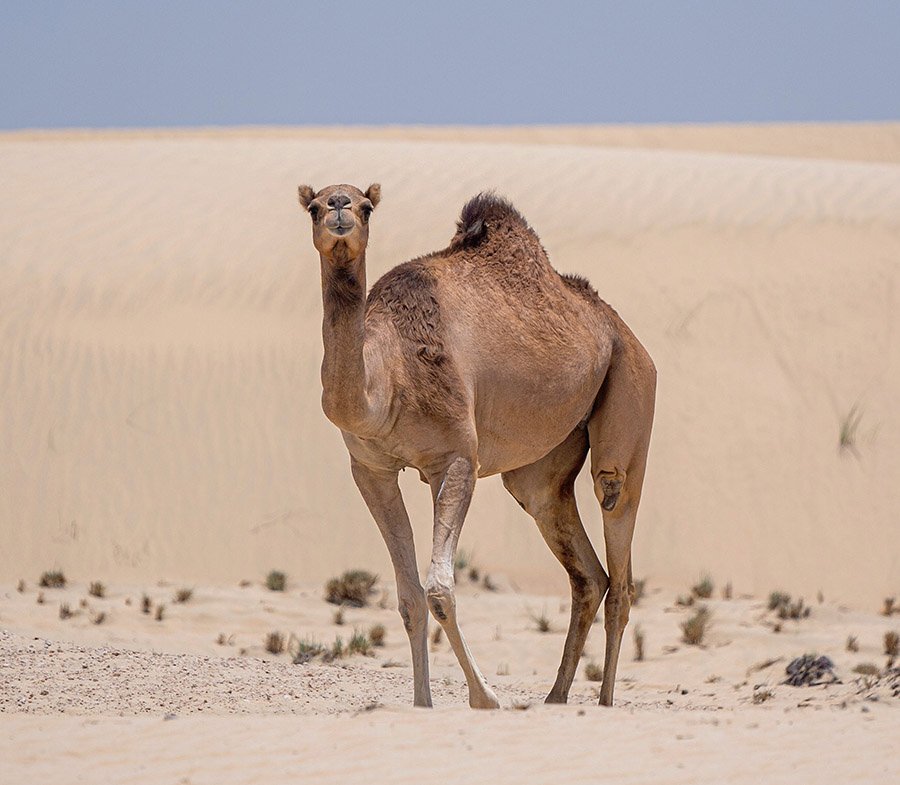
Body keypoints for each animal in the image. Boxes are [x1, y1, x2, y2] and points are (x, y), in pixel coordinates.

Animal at [298, 182, 656, 704]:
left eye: (366, 207)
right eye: (314, 206)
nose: (340, 208)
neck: (388, 377)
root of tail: (624, 331)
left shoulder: (456, 458)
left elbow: (439, 589)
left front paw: (486, 699)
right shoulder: (371, 469)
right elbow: (409, 597)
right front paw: (423, 704)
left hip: (631, 388)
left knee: (619, 542)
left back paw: (605, 703)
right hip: (539, 472)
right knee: (587, 571)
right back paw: (555, 698)